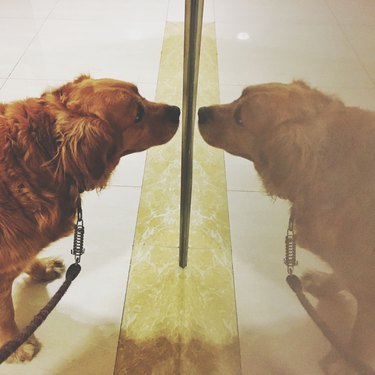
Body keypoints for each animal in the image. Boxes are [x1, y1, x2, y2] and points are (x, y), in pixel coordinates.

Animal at [0, 75, 181, 362]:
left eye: (140, 93)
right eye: (137, 115)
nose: (177, 110)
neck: (47, 158)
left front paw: (40, 268)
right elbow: (5, 312)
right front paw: (14, 345)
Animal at [200, 81, 375, 374]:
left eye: (240, 119)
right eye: (239, 95)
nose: (201, 112)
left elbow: (358, 340)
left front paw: (345, 363)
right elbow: (342, 274)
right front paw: (325, 284)